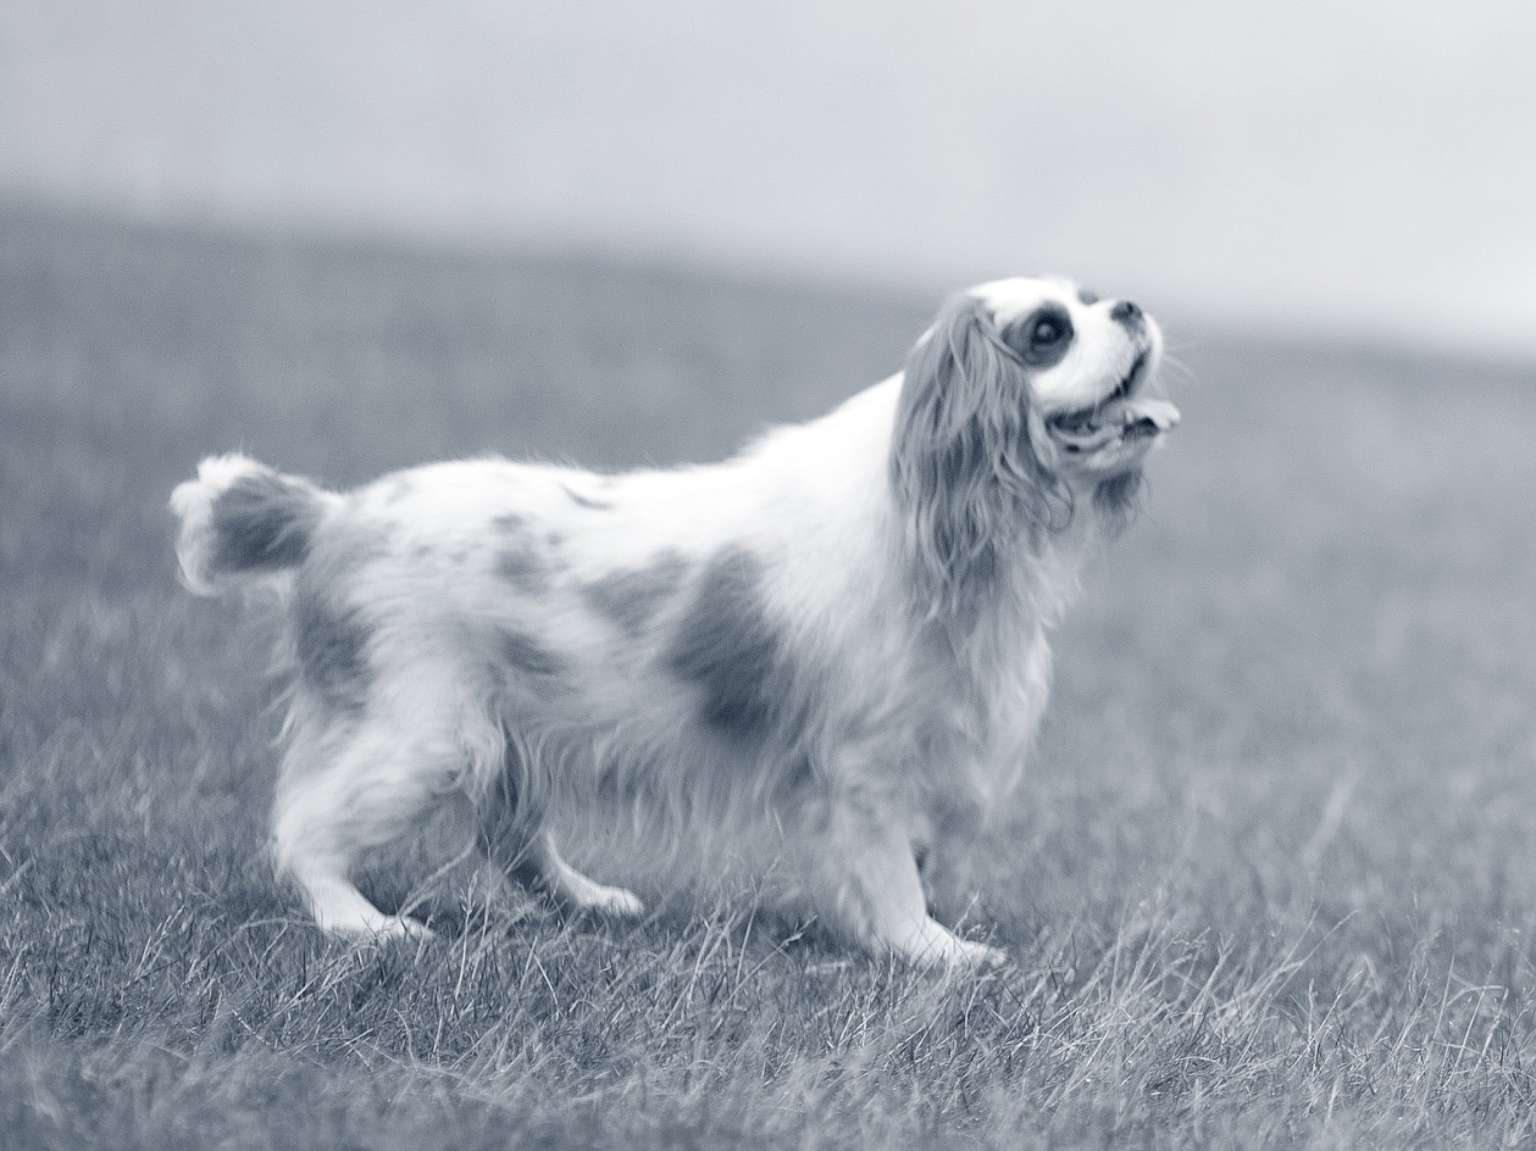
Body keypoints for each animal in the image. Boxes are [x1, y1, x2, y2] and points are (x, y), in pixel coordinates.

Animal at [171, 276, 1173, 958]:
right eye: (1048, 330)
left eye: (1092, 297)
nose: (1131, 304)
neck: (933, 509)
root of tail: (332, 513)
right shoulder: (864, 768)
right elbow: (890, 874)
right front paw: (935, 949)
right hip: (417, 734)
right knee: (304, 829)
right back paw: (363, 923)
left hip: (505, 735)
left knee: (511, 841)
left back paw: (589, 899)